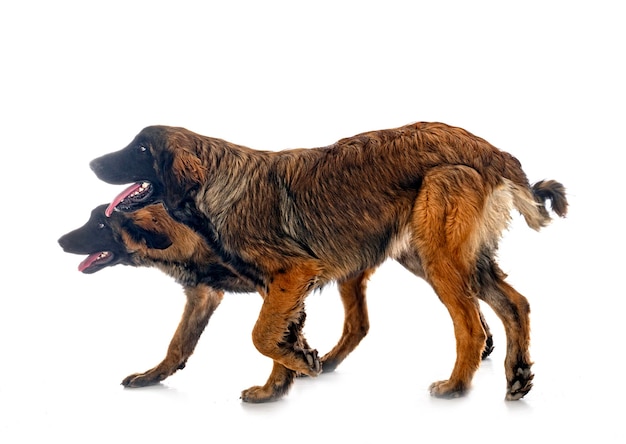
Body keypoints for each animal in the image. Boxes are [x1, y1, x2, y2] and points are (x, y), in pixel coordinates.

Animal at [89, 120, 564, 402]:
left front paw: (301, 364)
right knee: (513, 303)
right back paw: (517, 374)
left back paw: (457, 385)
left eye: (141, 149)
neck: (217, 184)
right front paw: (278, 385)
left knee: (470, 323)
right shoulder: (275, 286)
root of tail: (485, 147)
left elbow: (261, 336)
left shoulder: (292, 274)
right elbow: (270, 337)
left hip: (438, 256)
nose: (92, 161)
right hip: (438, 256)